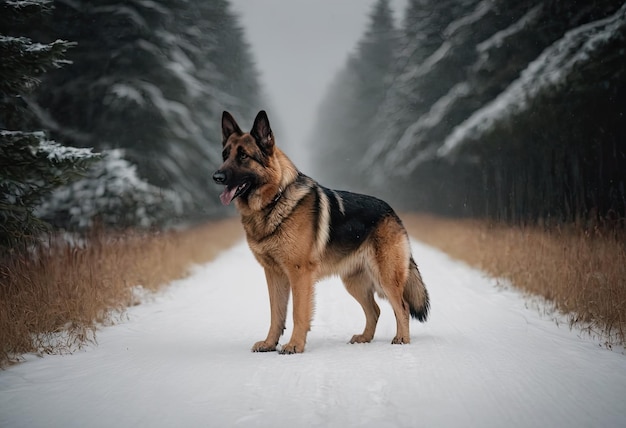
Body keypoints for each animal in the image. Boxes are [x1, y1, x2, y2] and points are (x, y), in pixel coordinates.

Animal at [212, 110, 426, 354]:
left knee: (402, 306)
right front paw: (269, 343)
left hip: (386, 278)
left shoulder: (299, 274)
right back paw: (364, 338)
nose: (216, 177)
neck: (275, 199)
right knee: (375, 310)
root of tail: (392, 211)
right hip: (354, 283)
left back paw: (402, 339)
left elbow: (298, 313)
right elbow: (276, 314)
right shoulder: (274, 274)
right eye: (225, 155)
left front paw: (295, 345)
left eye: (243, 156)